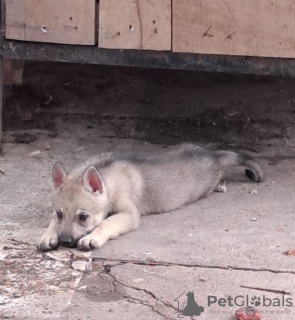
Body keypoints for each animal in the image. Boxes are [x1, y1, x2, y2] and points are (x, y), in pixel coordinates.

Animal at [38, 144, 264, 251]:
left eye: (83, 217)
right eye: (59, 214)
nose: (65, 242)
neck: (108, 178)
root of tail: (213, 155)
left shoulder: (129, 215)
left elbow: (106, 223)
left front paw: (91, 238)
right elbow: (51, 223)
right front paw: (47, 236)